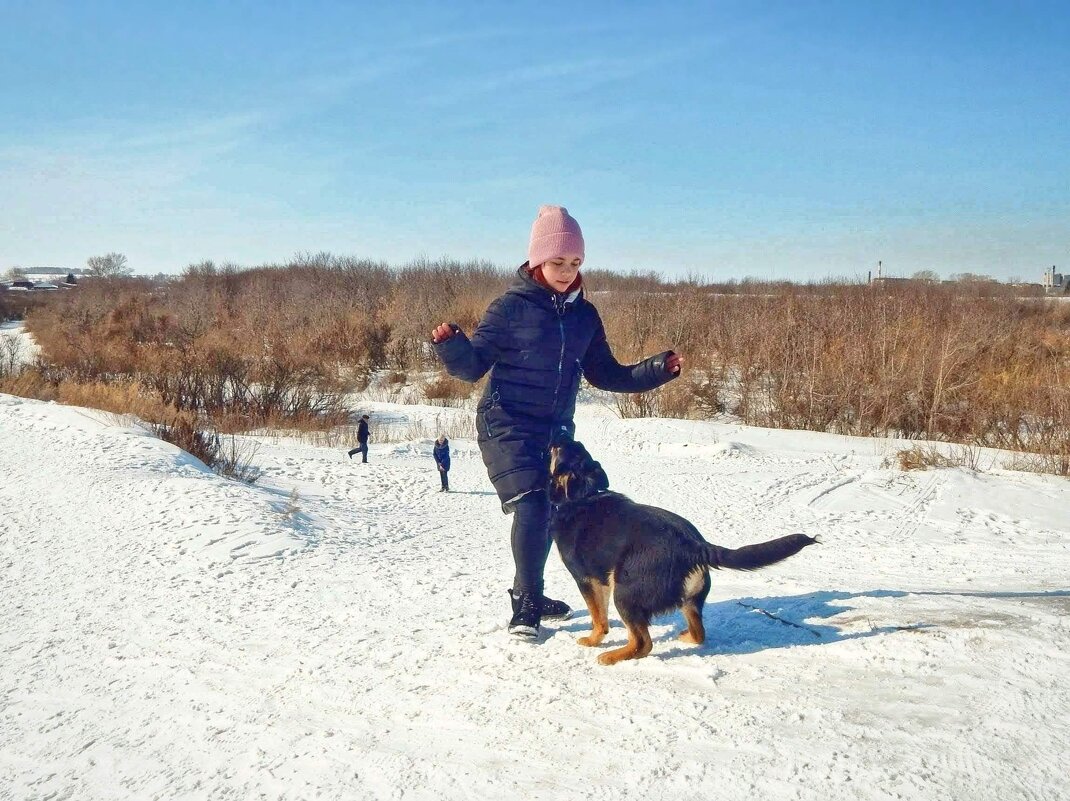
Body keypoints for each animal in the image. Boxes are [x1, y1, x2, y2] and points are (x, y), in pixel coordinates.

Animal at [552, 438, 817, 663]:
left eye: (559, 451)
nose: (561, 438)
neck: (583, 495)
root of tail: (696, 545)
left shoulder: (585, 579)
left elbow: (598, 618)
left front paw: (592, 641)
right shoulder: (601, 580)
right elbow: (602, 617)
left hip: (625, 591)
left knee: (642, 642)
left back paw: (612, 656)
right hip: (689, 600)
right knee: (698, 632)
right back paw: (682, 636)